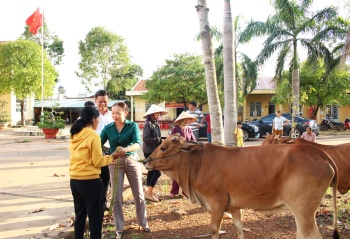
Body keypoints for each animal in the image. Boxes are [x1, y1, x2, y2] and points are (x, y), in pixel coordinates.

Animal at [144, 134, 340, 239]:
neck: (198, 162)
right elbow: (239, 227)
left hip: (303, 211)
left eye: (163, 147)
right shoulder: (234, 206)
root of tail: (319, 153)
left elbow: (214, 230)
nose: (146, 161)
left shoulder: (217, 203)